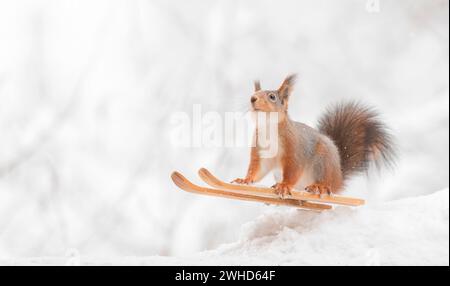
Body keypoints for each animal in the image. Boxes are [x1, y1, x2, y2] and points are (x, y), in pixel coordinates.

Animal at [234, 75, 396, 198]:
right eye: (254, 93)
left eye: (272, 96)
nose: (252, 98)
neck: (268, 128)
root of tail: (338, 178)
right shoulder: (260, 152)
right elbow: (257, 170)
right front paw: (245, 180)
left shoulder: (295, 149)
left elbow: (293, 170)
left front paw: (284, 186)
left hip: (322, 162)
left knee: (325, 182)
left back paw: (319, 187)